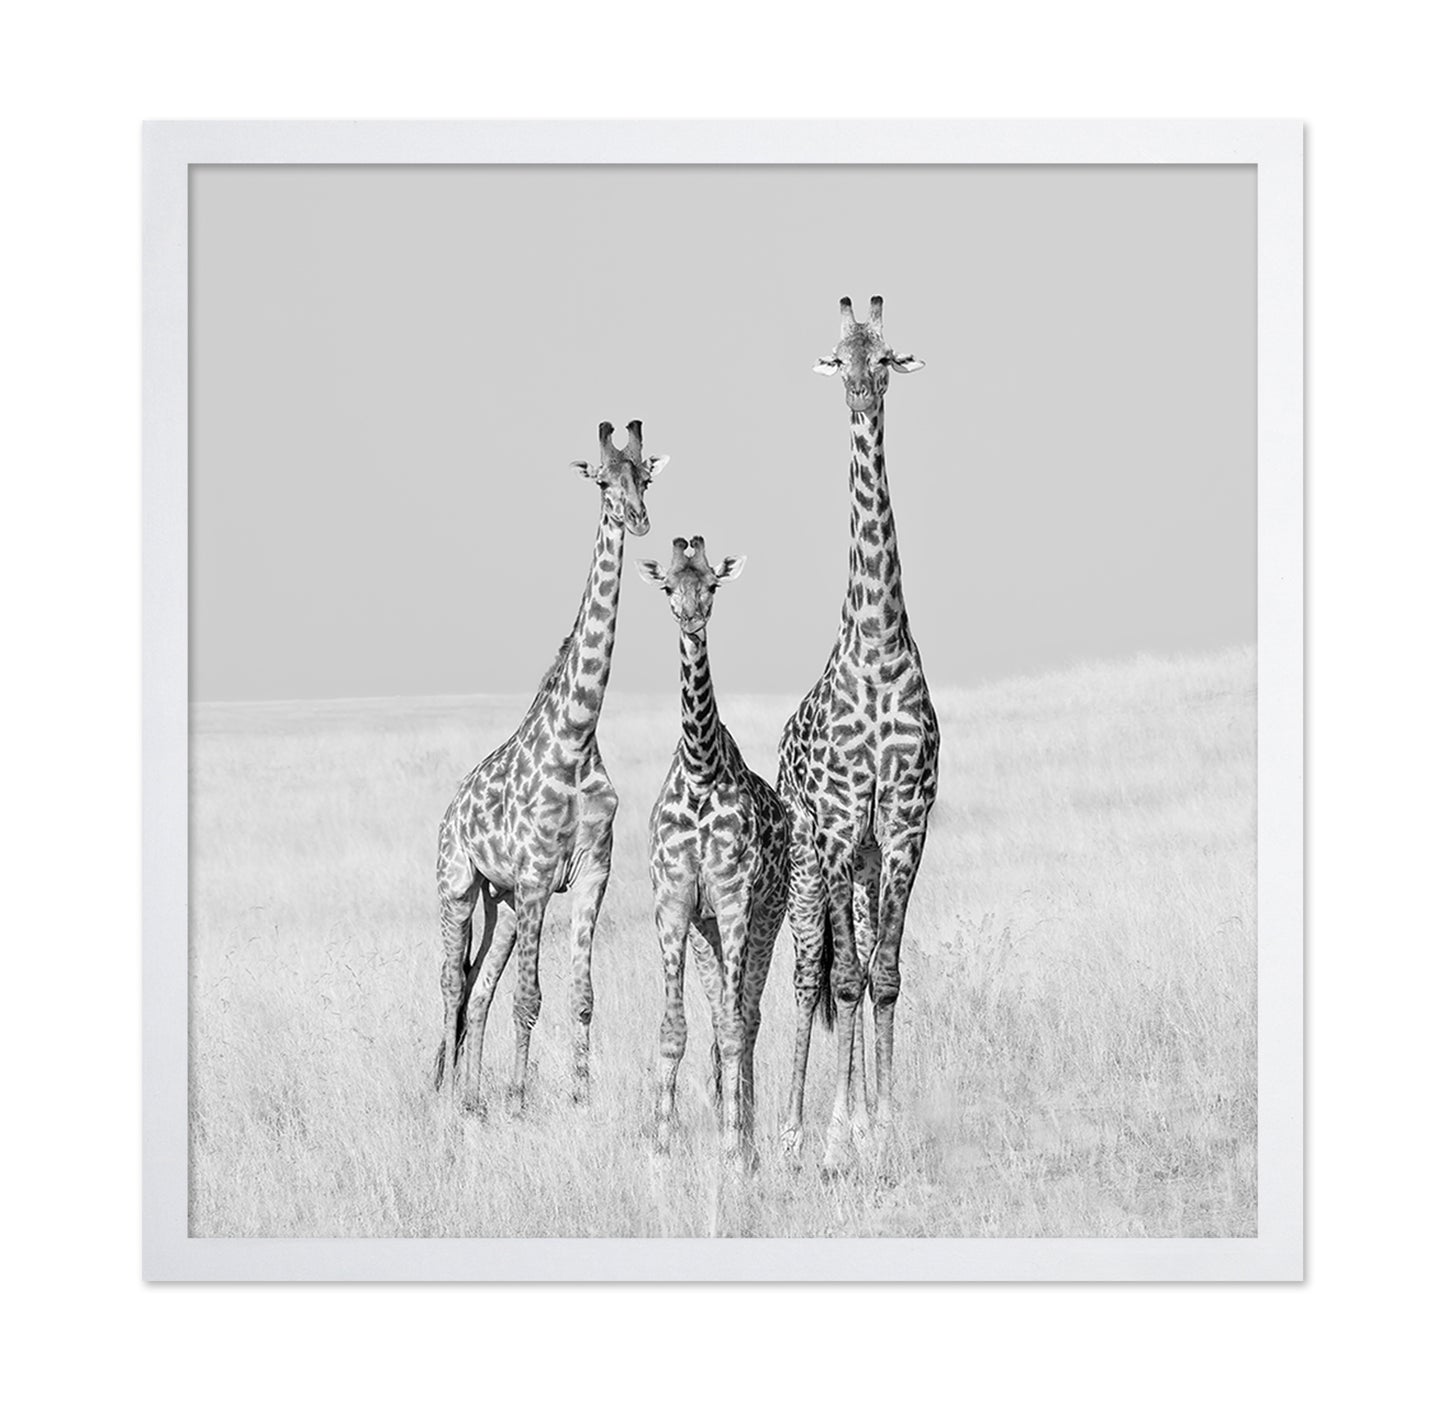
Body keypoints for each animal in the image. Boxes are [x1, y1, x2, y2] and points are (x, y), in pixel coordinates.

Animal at [434, 420, 668, 1117]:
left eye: (645, 476)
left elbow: (581, 996)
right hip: (459, 887)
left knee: (478, 987)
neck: (576, 737)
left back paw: (471, 1097)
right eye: (603, 481)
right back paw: (449, 1094)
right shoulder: (539, 876)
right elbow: (529, 996)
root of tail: (451, 809)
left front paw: (578, 1097)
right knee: (451, 985)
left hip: (503, 902)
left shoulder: (591, 871)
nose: (639, 519)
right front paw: (518, 1098)